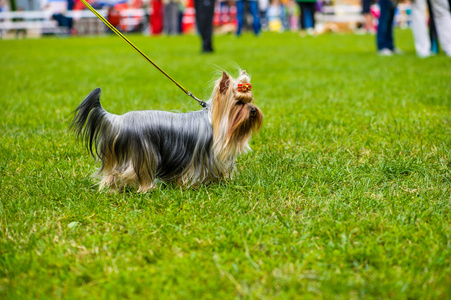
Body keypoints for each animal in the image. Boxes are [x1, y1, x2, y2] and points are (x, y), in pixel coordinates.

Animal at [72, 70, 264, 192]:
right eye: (239, 103)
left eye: (250, 100)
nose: (254, 110)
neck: (215, 122)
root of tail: (119, 120)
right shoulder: (198, 159)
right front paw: (192, 186)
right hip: (145, 154)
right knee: (140, 174)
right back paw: (147, 189)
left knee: (111, 174)